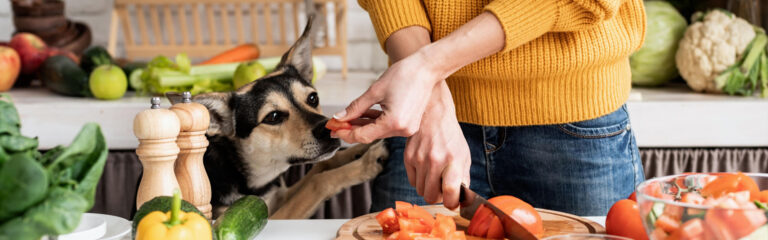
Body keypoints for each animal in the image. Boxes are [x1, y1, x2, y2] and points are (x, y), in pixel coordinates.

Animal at [190, 15, 388, 218]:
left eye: (313, 98)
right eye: (273, 117)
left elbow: (322, 165)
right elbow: (318, 181)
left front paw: (362, 148)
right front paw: (366, 163)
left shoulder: (279, 196)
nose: (328, 129)